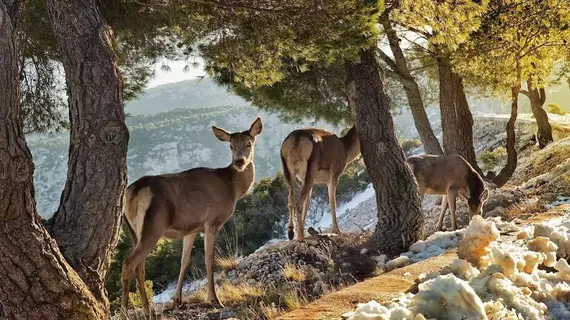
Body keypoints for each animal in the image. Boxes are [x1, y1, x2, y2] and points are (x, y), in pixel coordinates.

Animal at [121, 117, 262, 318]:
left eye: (249, 143)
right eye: (231, 146)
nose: (239, 162)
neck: (232, 189)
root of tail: (133, 192)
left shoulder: (191, 228)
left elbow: (184, 261)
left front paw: (177, 300)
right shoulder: (212, 222)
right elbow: (209, 259)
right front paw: (215, 299)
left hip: (134, 231)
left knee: (139, 267)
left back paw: (149, 311)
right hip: (153, 225)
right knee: (129, 263)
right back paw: (124, 312)